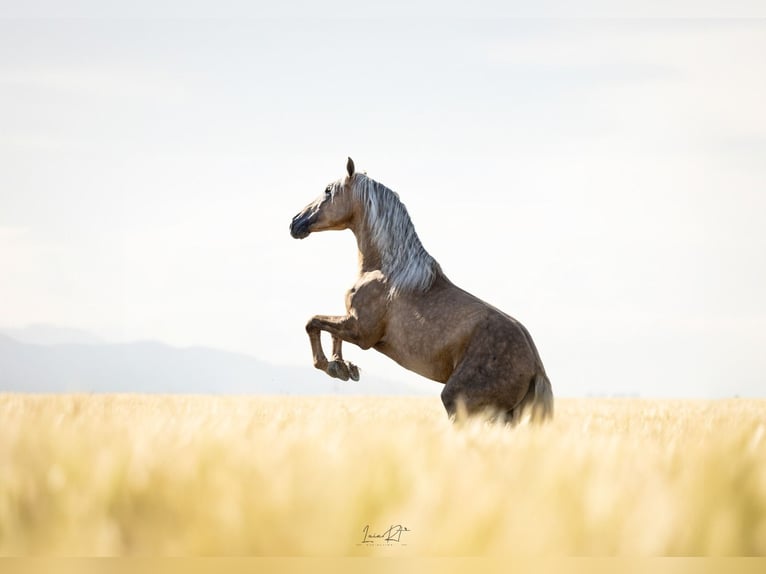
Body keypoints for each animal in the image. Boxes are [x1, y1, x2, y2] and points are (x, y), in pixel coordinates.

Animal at [292, 160, 556, 426]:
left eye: (328, 190)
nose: (296, 222)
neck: (387, 270)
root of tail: (536, 367)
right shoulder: (351, 323)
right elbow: (329, 331)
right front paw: (343, 367)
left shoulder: (361, 332)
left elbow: (313, 322)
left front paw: (330, 366)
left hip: (459, 403)